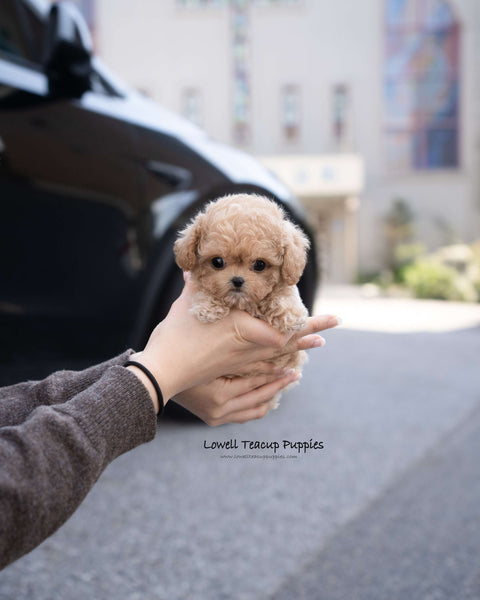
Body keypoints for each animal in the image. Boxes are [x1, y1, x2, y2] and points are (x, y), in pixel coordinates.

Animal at [174, 195, 310, 410]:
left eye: (260, 264)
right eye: (217, 262)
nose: (237, 280)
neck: (244, 303)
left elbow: (285, 293)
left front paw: (291, 315)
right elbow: (204, 290)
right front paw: (209, 307)